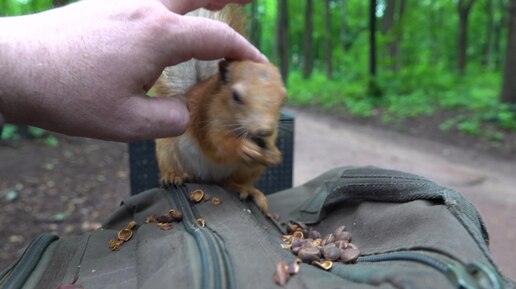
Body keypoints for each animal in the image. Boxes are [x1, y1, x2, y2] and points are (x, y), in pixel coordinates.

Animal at [151, 5, 288, 212]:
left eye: (283, 98)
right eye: (236, 96)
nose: (264, 131)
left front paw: (274, 153)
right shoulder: (206, 120)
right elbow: (218, 144)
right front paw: (243, 147)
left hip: (248, 170)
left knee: (229, 182)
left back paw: (248, 190)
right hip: (167, 150)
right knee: (175, 167)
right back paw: (173, 176)